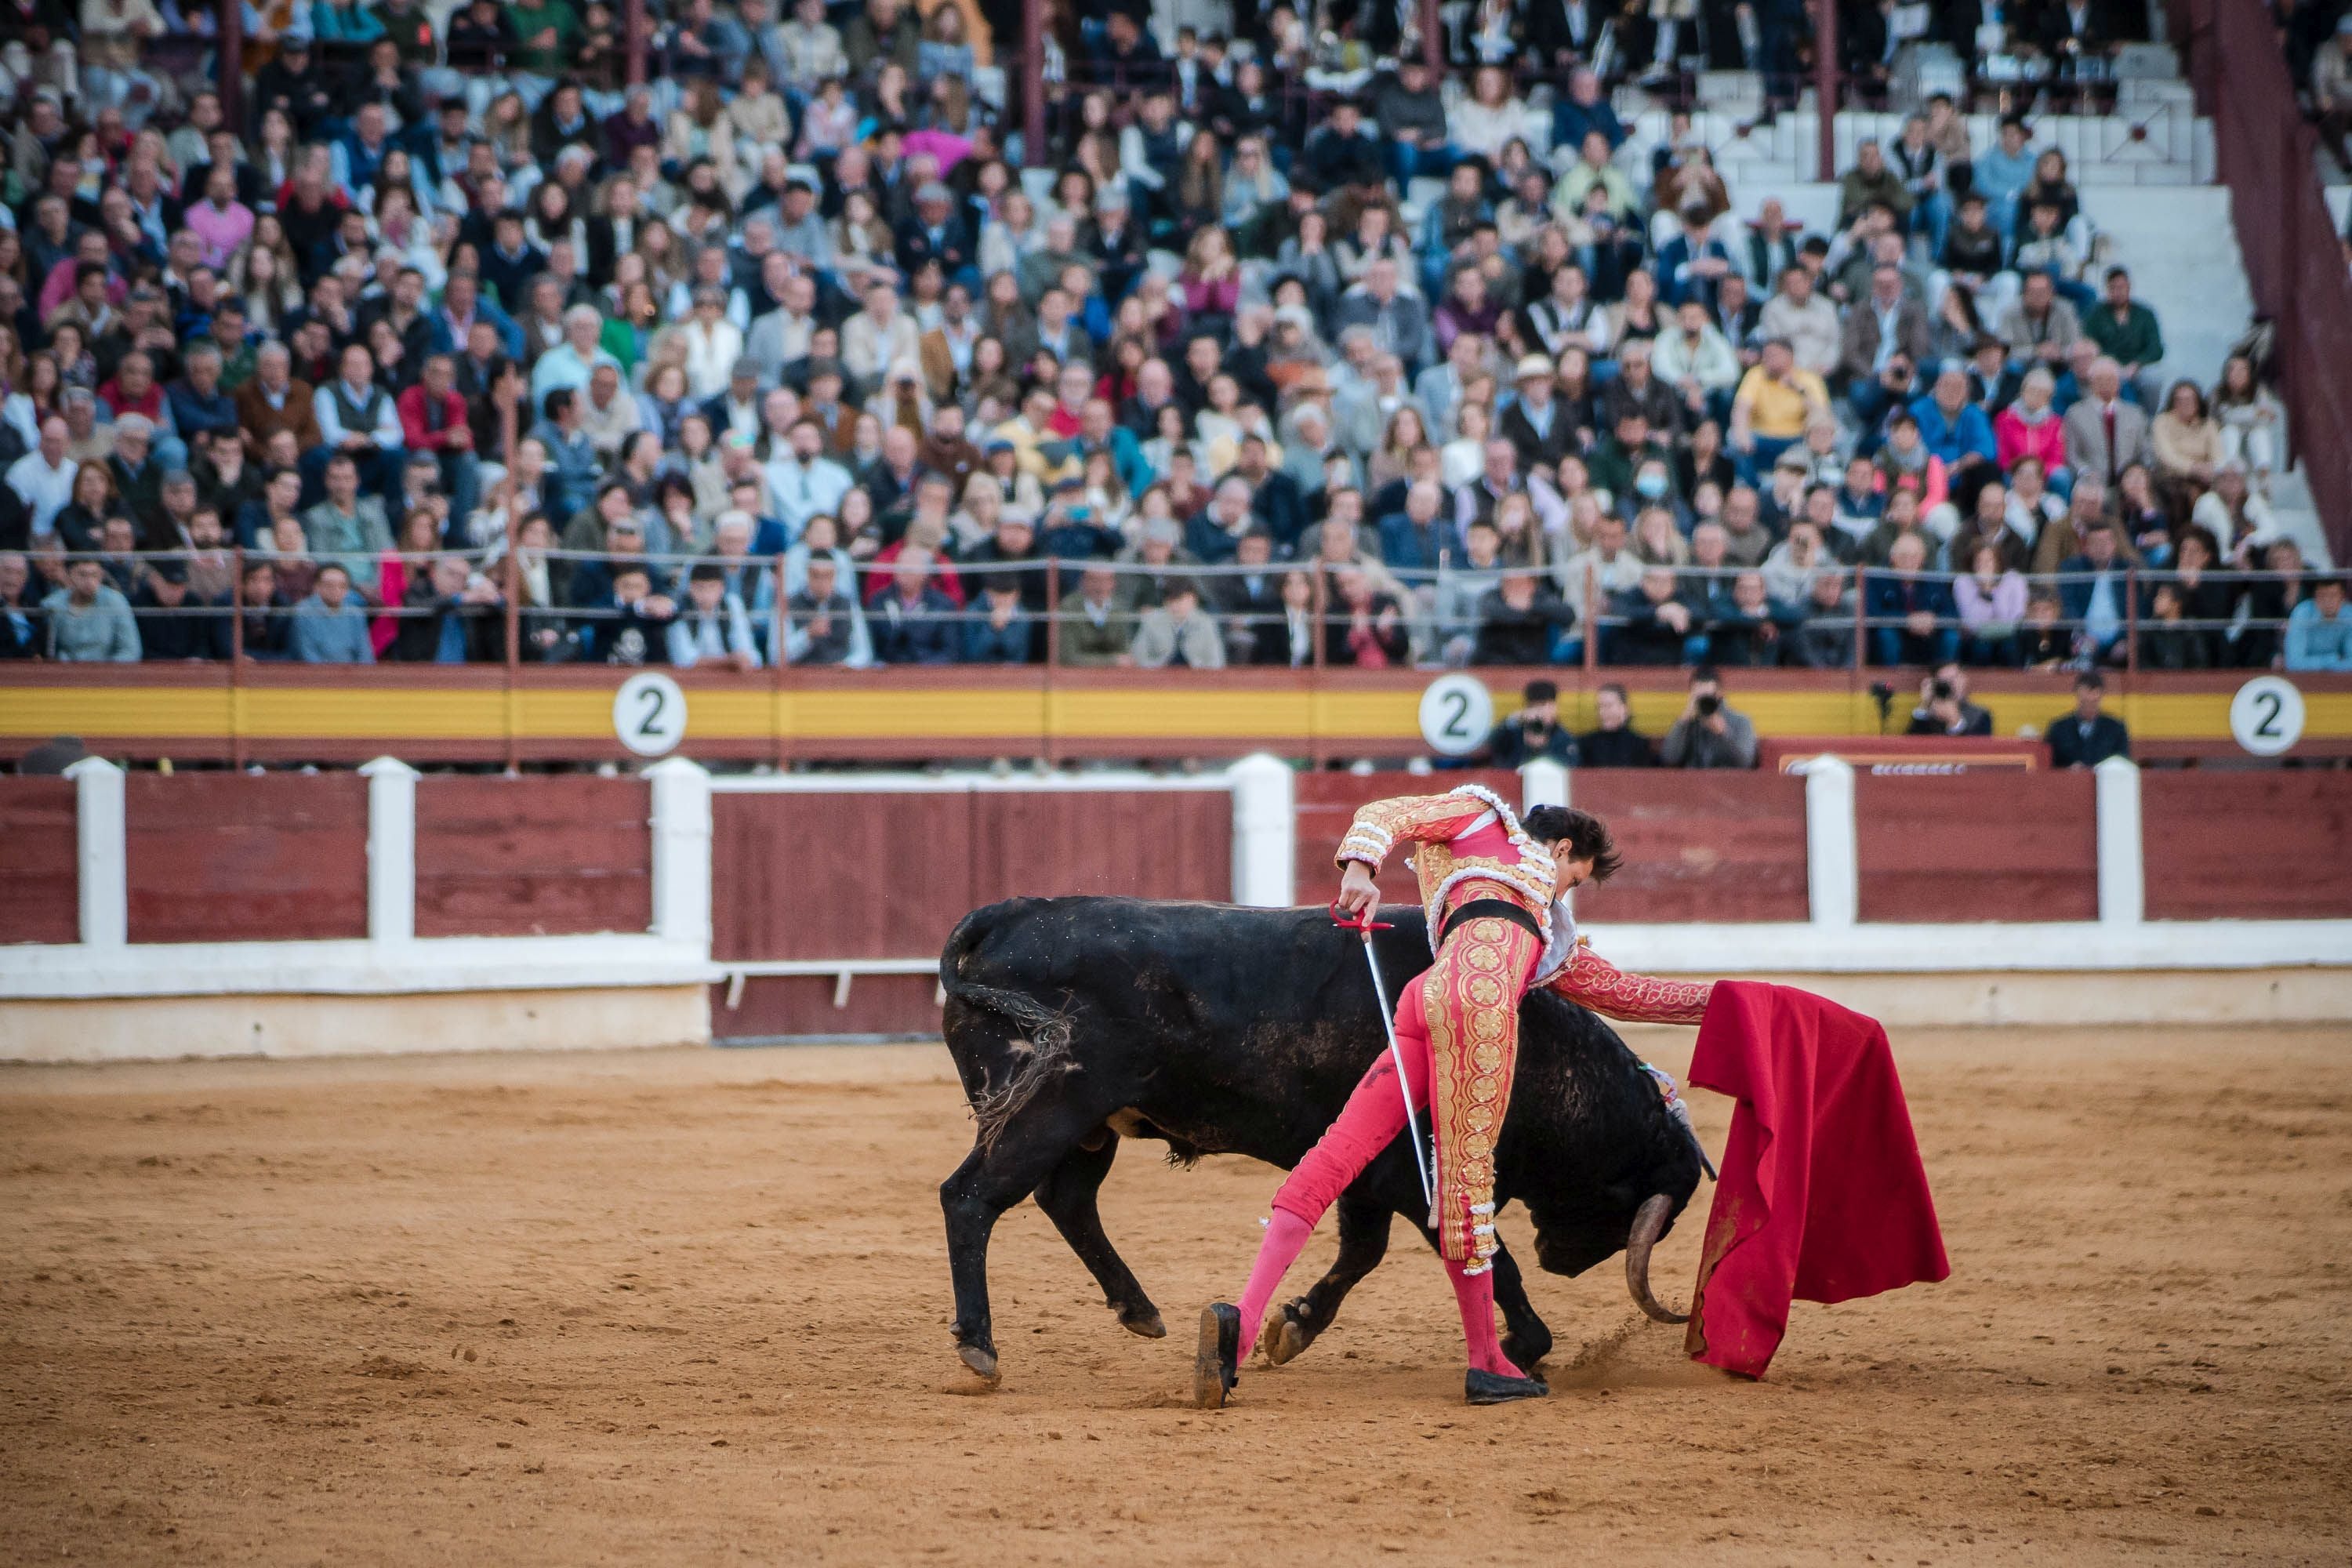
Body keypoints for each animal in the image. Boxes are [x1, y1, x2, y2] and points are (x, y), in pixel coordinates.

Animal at [927, 902, 1703, 1382]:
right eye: (1631, 1208)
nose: (1560, 1262)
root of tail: (1006, 916)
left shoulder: (1372, 1178)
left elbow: (1361, 1253)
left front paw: (1291, 1326)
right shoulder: (1415, 1172)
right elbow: (1486, 1259)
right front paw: (1522, 1344)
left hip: (1088, 1127)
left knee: (1066, 1200)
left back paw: (1140, 1310)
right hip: (1049, 1108)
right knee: (972, 1198)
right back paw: (979, 1346)